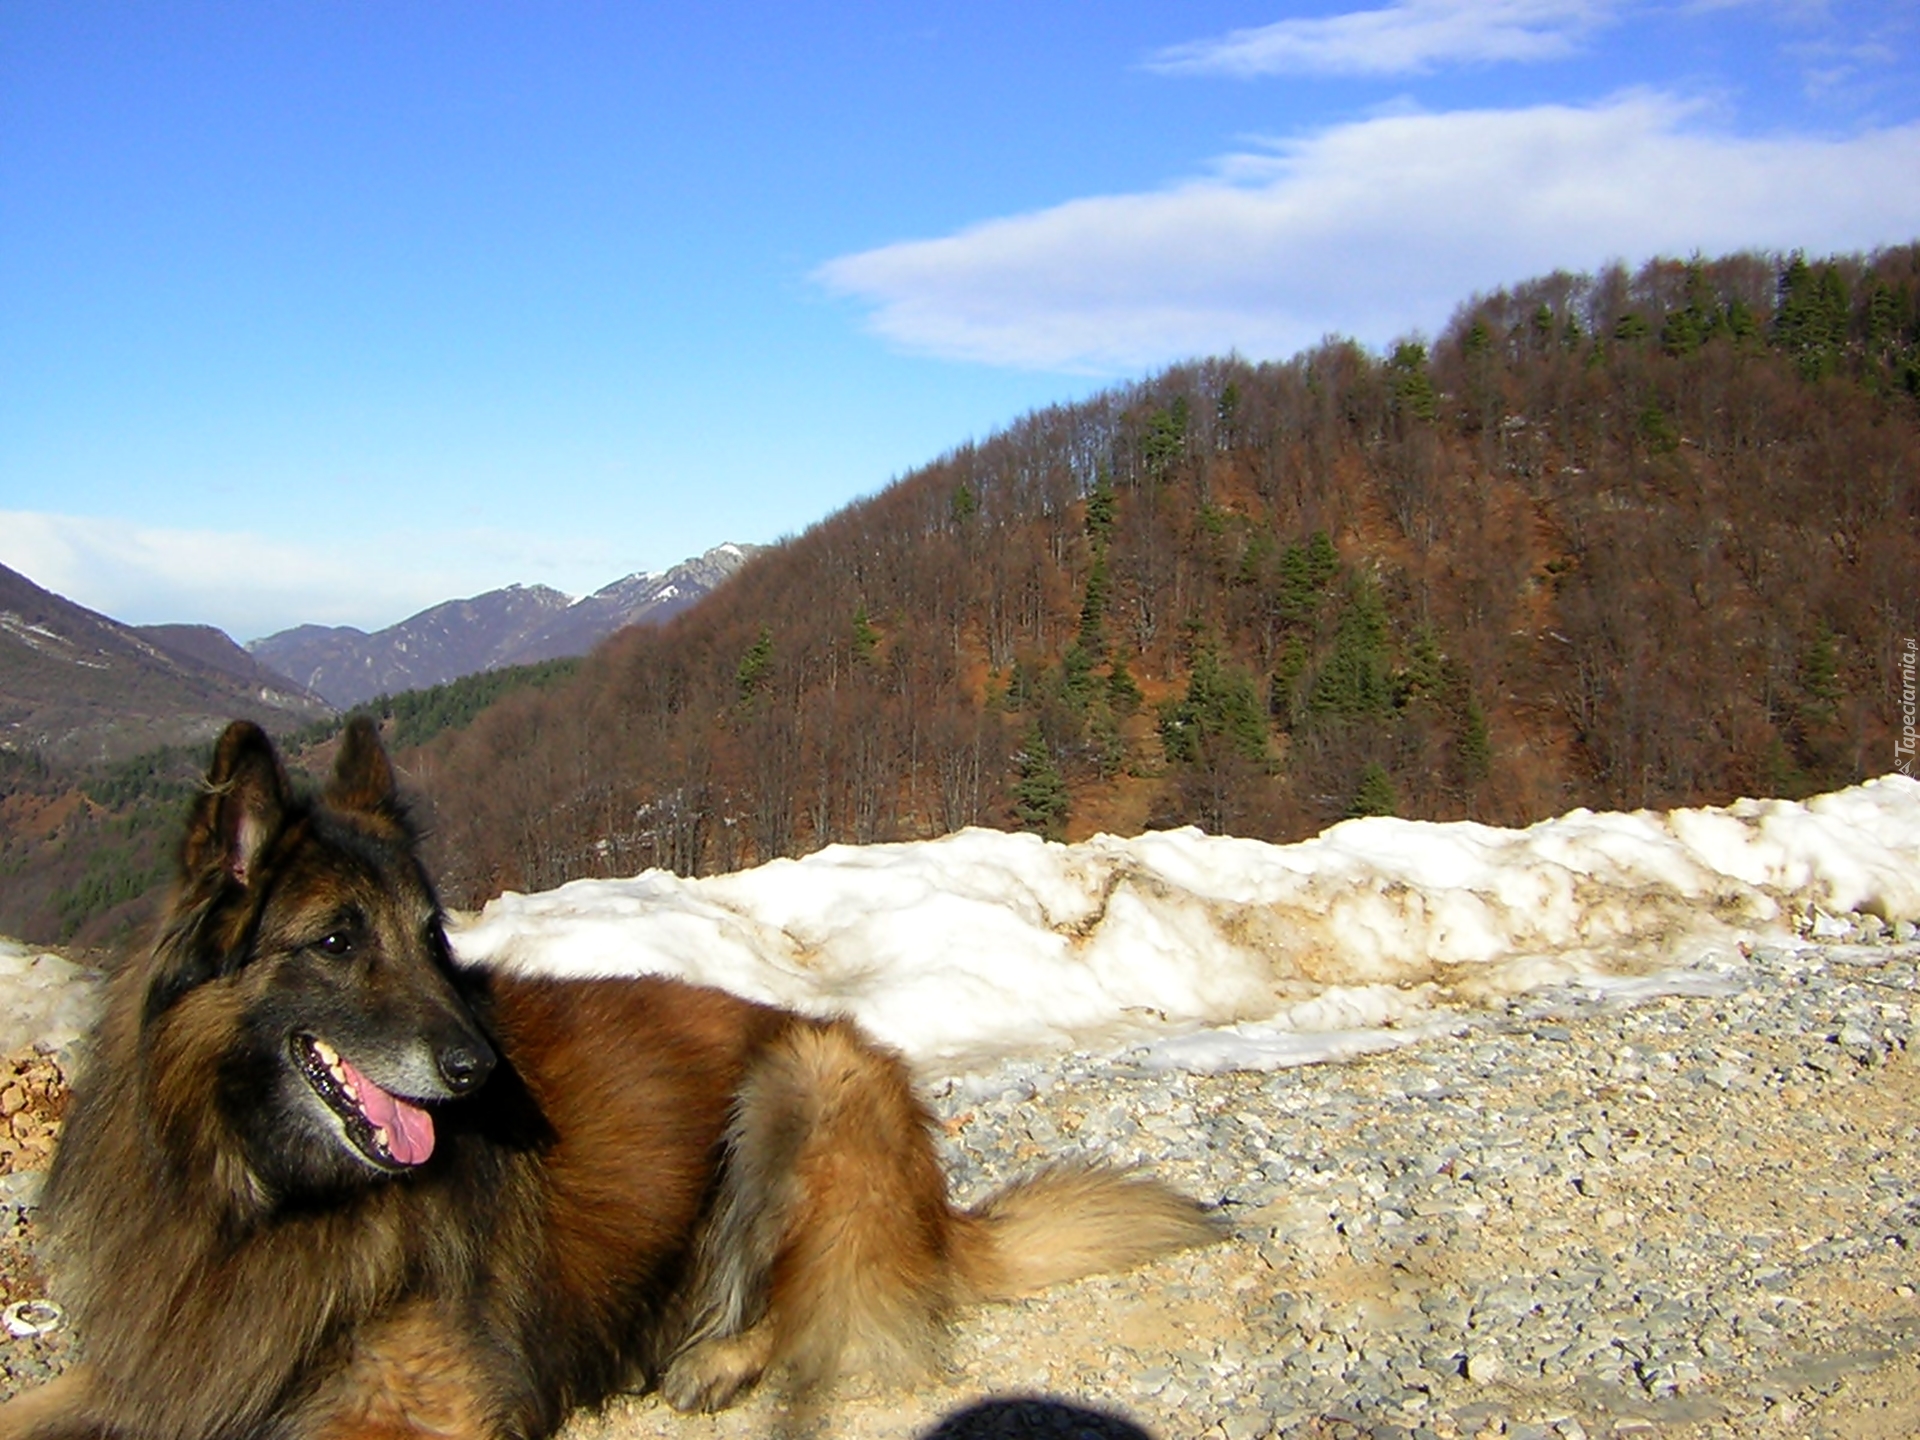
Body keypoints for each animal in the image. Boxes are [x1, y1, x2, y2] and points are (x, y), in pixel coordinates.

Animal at [0, 721, 1221, 1440]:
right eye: (339, 941)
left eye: (429, 935)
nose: (478, 1070)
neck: (260, 1200)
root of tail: (935, 1209)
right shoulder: (161, 1366)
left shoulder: (427, 1403)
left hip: (805, 1087)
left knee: (820, 1308)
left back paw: (713, 1361)